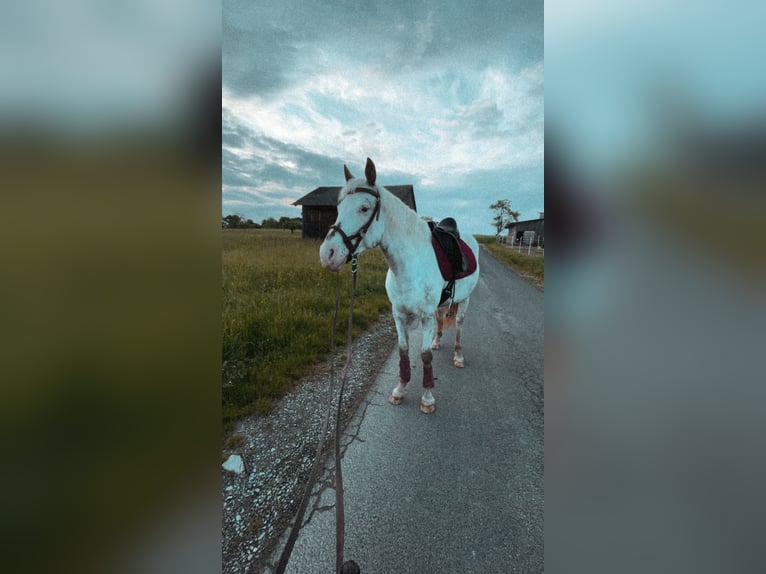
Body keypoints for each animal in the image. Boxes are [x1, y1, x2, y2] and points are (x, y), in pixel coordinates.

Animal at [318, 159, 480, 414]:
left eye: (364, 208)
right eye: (339, 206)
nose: (328, 254)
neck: (409, 264)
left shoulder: (424, 317)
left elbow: (424, 356)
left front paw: (427, 398)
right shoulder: (398, 314)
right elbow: (404, 351)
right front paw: (400, 389)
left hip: (464, 301)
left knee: (459, 326)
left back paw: (458, 356)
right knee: (441, 319)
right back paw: (437, 342)